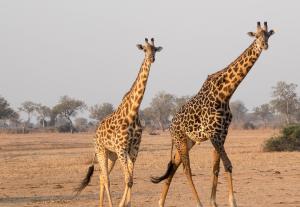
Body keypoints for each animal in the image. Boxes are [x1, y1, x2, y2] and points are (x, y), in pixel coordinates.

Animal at [76, 38, 163, 206]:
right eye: (144, 49)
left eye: (155, 49)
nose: (152, 58)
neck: (133, 112)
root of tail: (95, 133)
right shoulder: (122, 148)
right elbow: (127, 179)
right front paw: (122, 204)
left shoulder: (133, 149)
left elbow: (130, 180)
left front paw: (127, 204)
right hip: (101, 151)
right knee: (106, 178)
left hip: (112, 155)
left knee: (102, 177)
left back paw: (101, 204)